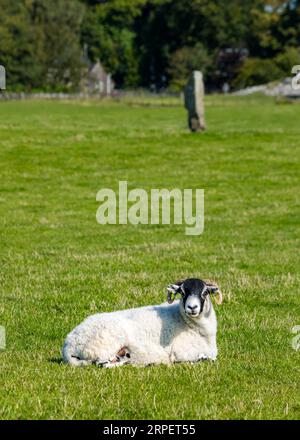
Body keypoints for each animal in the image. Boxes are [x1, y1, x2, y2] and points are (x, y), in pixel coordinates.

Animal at [62, 278, 221, 368]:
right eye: (182, 292)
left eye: (205, 292)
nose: (192, 307)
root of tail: (68, 345)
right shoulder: (181, 352)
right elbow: (207, 359)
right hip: (104, 347)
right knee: (103, 364)